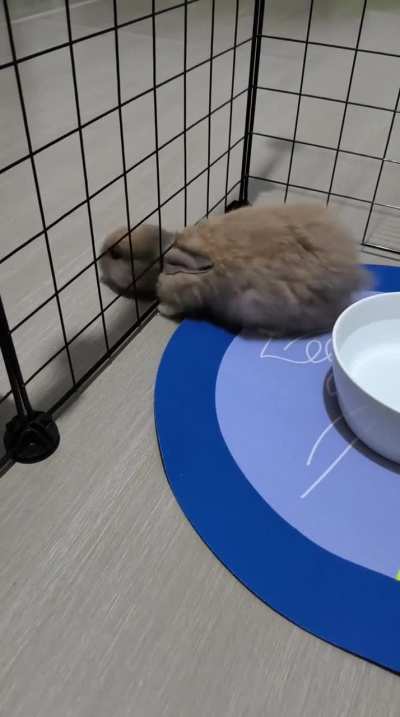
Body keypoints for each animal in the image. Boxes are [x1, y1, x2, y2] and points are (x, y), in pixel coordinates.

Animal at [101, 203, 367, 335]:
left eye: (116, 254)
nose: (100, 262)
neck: (162, 257)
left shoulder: (184, 293)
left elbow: (174, 303)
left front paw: (161, 310)